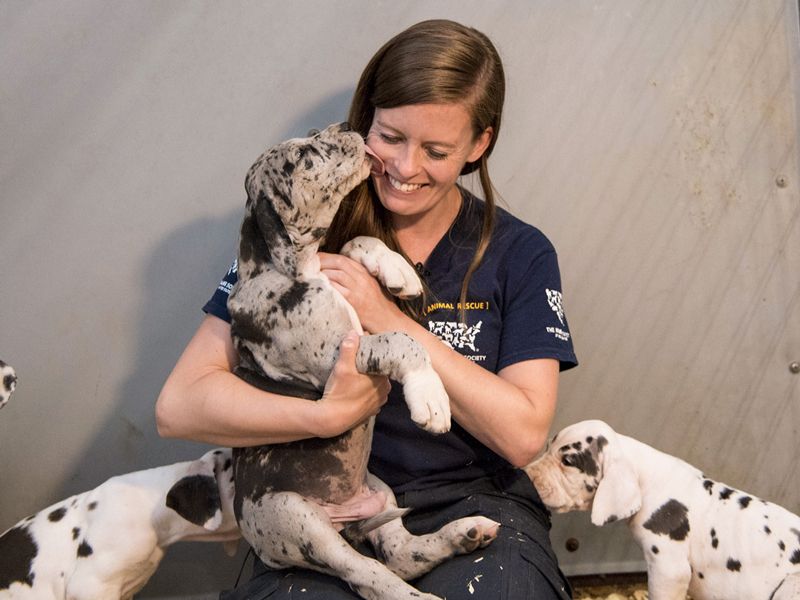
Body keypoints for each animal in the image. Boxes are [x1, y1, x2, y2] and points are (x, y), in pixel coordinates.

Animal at [228, 123, 496, 600]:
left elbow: (356, 240)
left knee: (401, 555)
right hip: (298, 521)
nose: (347, 127)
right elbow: (401, 340)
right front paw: (430, 396)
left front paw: (397, 270)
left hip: (379, 490)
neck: (296, 269)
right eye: (302, 158)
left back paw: (464, 533)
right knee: (367, 573)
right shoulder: (339, 356)